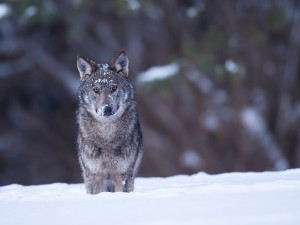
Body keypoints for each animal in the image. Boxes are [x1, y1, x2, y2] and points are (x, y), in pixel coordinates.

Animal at [77, 50, 144, 193]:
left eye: (114, 88)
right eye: (96, 90)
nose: (106, 109)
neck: (107, 136)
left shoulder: (122, 175)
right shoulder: (94, 175)